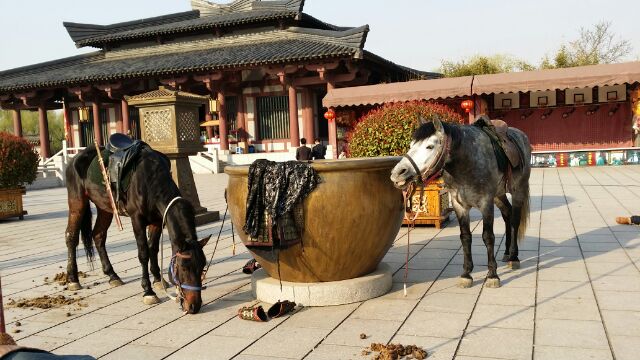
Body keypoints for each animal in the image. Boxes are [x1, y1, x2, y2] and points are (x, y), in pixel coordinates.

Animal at [64, 142, 210, 314]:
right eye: (184, 267)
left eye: (202, 266)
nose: (194, 306)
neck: (150, 180)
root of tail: (76, 158)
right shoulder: (137, 220)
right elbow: (143, 253)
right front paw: (148, 291)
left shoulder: (157, 220)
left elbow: (153, 248)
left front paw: (158, 280)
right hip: (77, 201)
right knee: (71, 236)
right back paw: (73, 279)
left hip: (105, 207)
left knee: (98, 235)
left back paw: (112, 275)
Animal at [390, 116, 528, 288]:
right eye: (411, 146)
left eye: (430, 146)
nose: (398, 173)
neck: (466, 163)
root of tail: (521, 135)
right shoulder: (459, 205)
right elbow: (465, 237)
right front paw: (467, 274)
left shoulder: (486, 203)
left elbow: (488, 237)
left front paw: (492, 275)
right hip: (499, 194)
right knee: (507, 214)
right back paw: (507, 252)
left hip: (518, 190)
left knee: (515, 220)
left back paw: (514, 257)